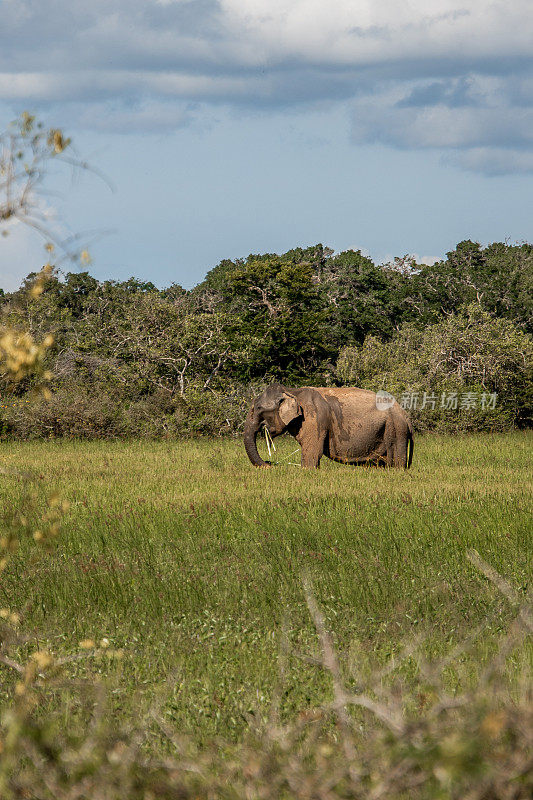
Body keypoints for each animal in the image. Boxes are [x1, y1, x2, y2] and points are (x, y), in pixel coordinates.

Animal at [243, 382, 414, 468]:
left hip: (396, 430)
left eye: (259, 408)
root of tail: (405, 414)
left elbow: (312, 452)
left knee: (396, 460)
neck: (292, 391)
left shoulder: (315, 419)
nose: (270, 463)